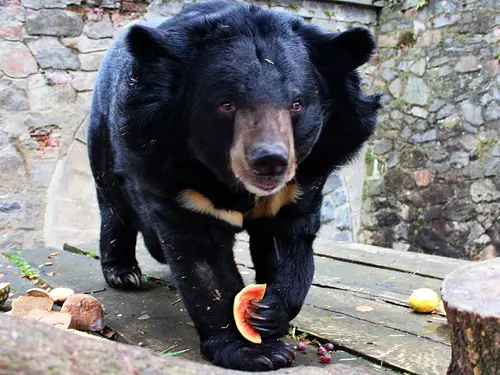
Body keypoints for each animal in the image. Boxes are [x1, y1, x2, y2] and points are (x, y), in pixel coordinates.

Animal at [88, 0, 380, 370]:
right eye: (226, 104)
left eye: (297, 103)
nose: (270, 161)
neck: (234, 184)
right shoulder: (173, 177)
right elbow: (203, 264)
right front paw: (253, 350)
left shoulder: (302, 180)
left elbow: (292, 245)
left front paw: (270, 311)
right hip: (105, 141)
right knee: (114, 206)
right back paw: (122, 272)